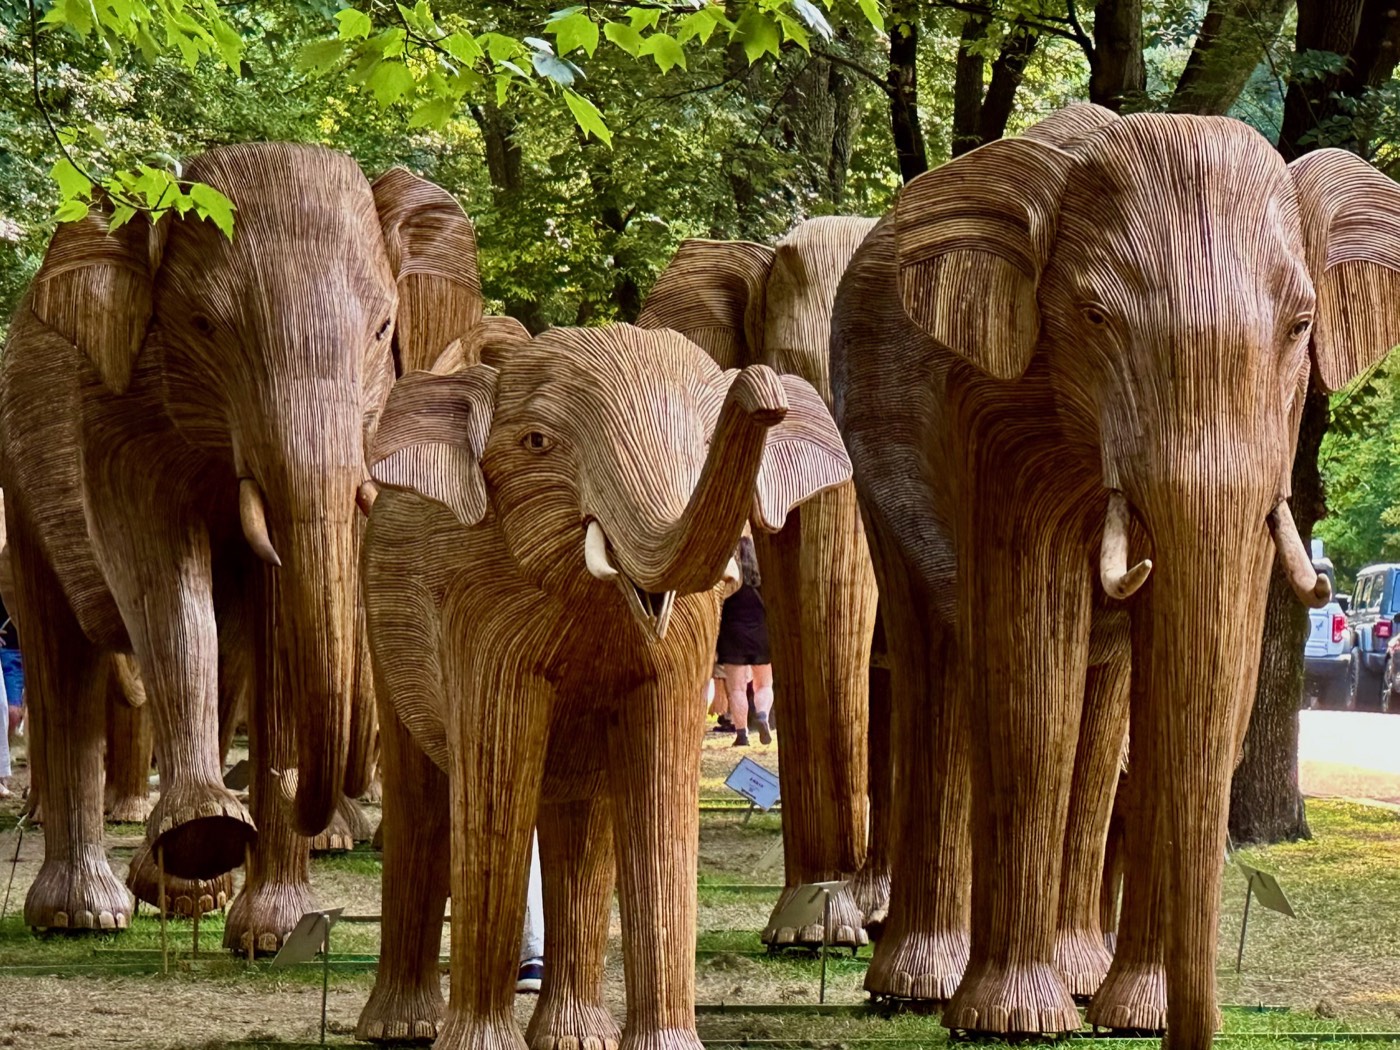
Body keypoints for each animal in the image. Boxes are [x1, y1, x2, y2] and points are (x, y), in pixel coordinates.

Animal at [0, 142, 480, 938]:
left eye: (386, 330)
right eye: (202, 325)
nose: (304, 784)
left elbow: (271, 626)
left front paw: (270, 930)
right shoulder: (115, 407)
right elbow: (162, 583)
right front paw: (205, 838)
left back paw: (184, 892)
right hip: (19, 479)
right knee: (62, 657)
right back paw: (86, 913)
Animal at [355, 318, 851, 1050]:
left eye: (710, 439)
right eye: (537, 442)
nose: (760, 386)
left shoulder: (687, 633)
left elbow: (658, 779)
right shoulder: (475, 601)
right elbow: (494, 773)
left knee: (581, 815)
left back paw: (573, 1036)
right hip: (382, 622)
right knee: (422, 797)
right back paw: (401, 1028)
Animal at [831, 103, 1400, 1050]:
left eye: (1300, 325)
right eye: (1095, 318)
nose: (1195, 1034)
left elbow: (1191, 694)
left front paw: (1137, 1012)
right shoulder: (996, 411)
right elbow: (1033, 678)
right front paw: (1014, 1021)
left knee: (1097, 733)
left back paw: (1079, 977)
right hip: (871, 462)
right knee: (938, 663)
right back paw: (919, 986)